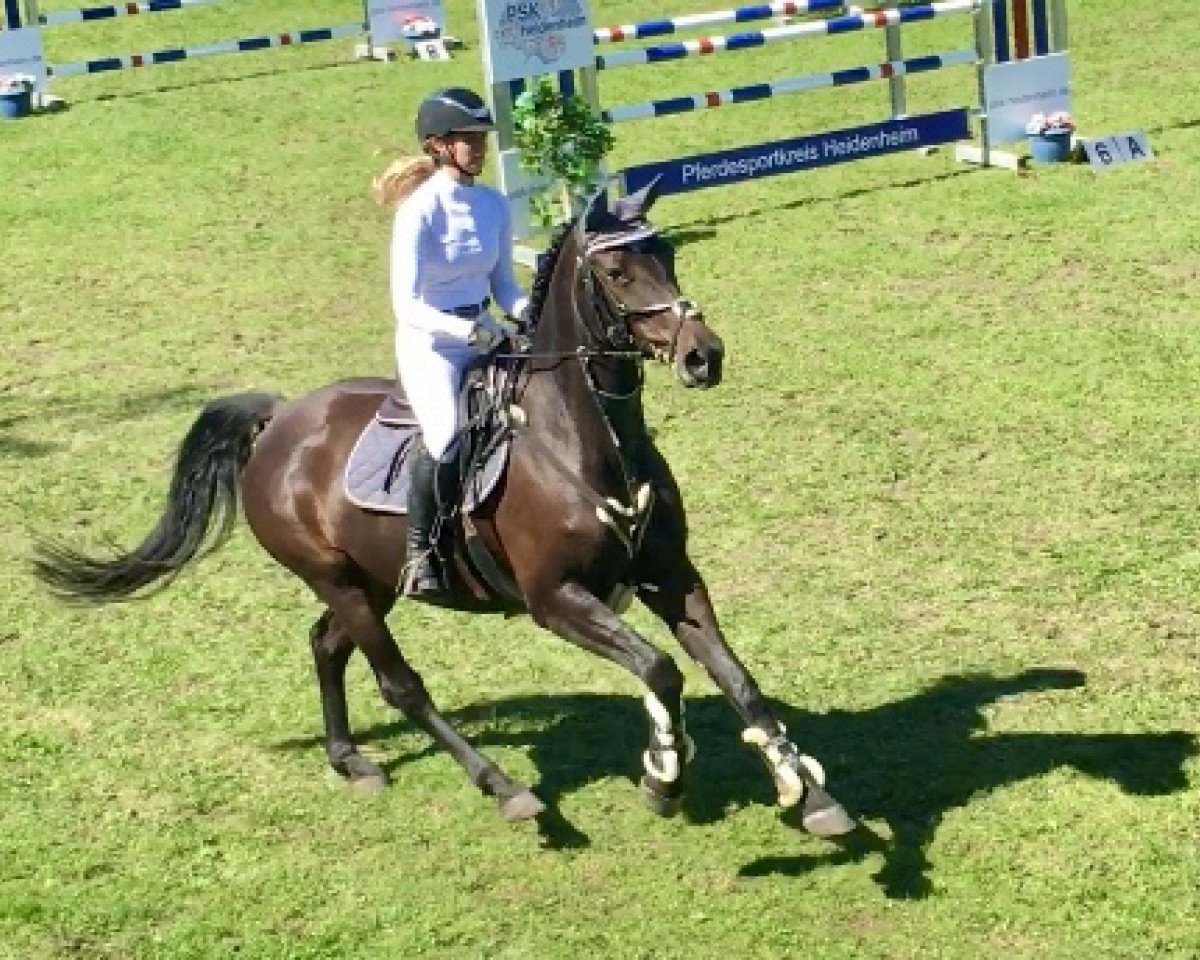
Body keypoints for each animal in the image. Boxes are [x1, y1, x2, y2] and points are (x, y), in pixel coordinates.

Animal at [33, 182, 856, 838]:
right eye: (618, 272)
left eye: (670, 258)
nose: (703, 355)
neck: (583, 441)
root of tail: (281, 420)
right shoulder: (557, 600)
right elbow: (660, 671)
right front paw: (663, 773)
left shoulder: (673, 578)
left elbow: (734, 674)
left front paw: (806, 789)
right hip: (339, 579)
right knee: (399, 684)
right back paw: (505, 788)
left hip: (370, 581)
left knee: (326, 647)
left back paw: (349, 759)